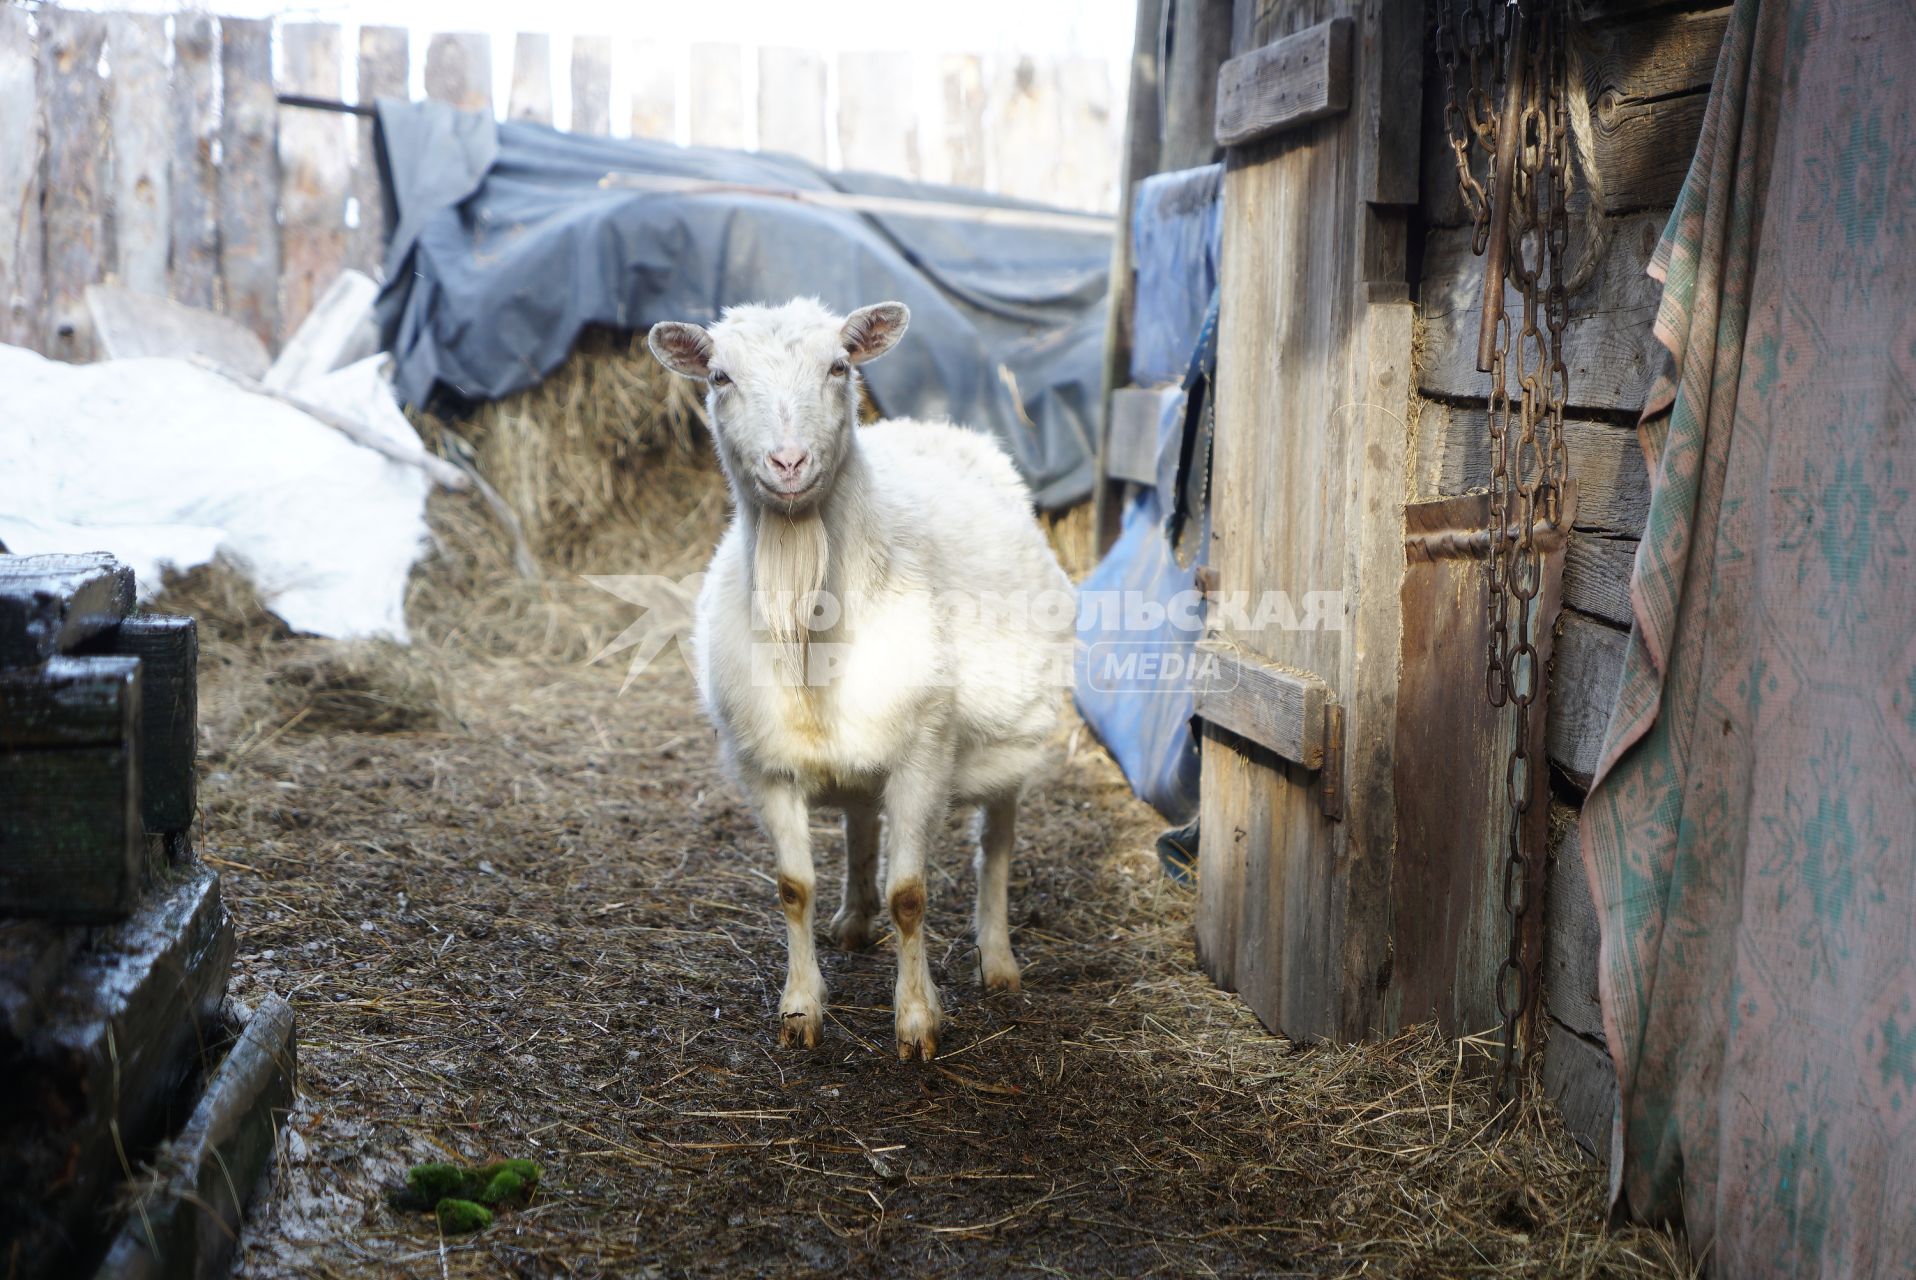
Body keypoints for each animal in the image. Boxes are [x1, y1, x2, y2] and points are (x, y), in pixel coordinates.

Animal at [651, 300, 1072, 1057]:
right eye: (720, 376)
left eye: (838, 366)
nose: (789, 462)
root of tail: (932, 426)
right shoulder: (766, 762)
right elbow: (792, 886)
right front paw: (800, 1009)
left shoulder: (925, 752)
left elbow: (911, 894)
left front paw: (917, 1022)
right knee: (858, 819)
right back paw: (853, 918)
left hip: (1011, 740)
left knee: (995, 846)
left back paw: (998, 960)